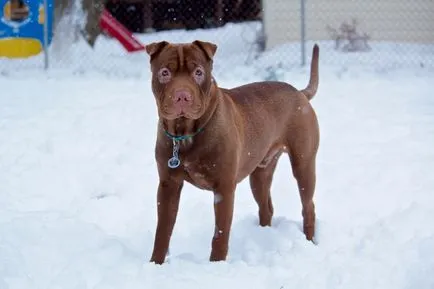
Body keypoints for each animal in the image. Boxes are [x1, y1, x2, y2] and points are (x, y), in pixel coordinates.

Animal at [146, 40, 318, 264]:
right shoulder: (168, 186)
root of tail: (300, 93)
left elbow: (220, 233)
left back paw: (310, 242)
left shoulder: (224, 188)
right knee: (266, 207)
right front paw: (155, 264)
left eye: (198, 72)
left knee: (308, 206)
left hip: (303, 165)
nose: (182, 96)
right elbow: (163, 230)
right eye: (165, 72)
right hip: (260, 174)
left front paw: (216, 264)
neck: (185, 133)